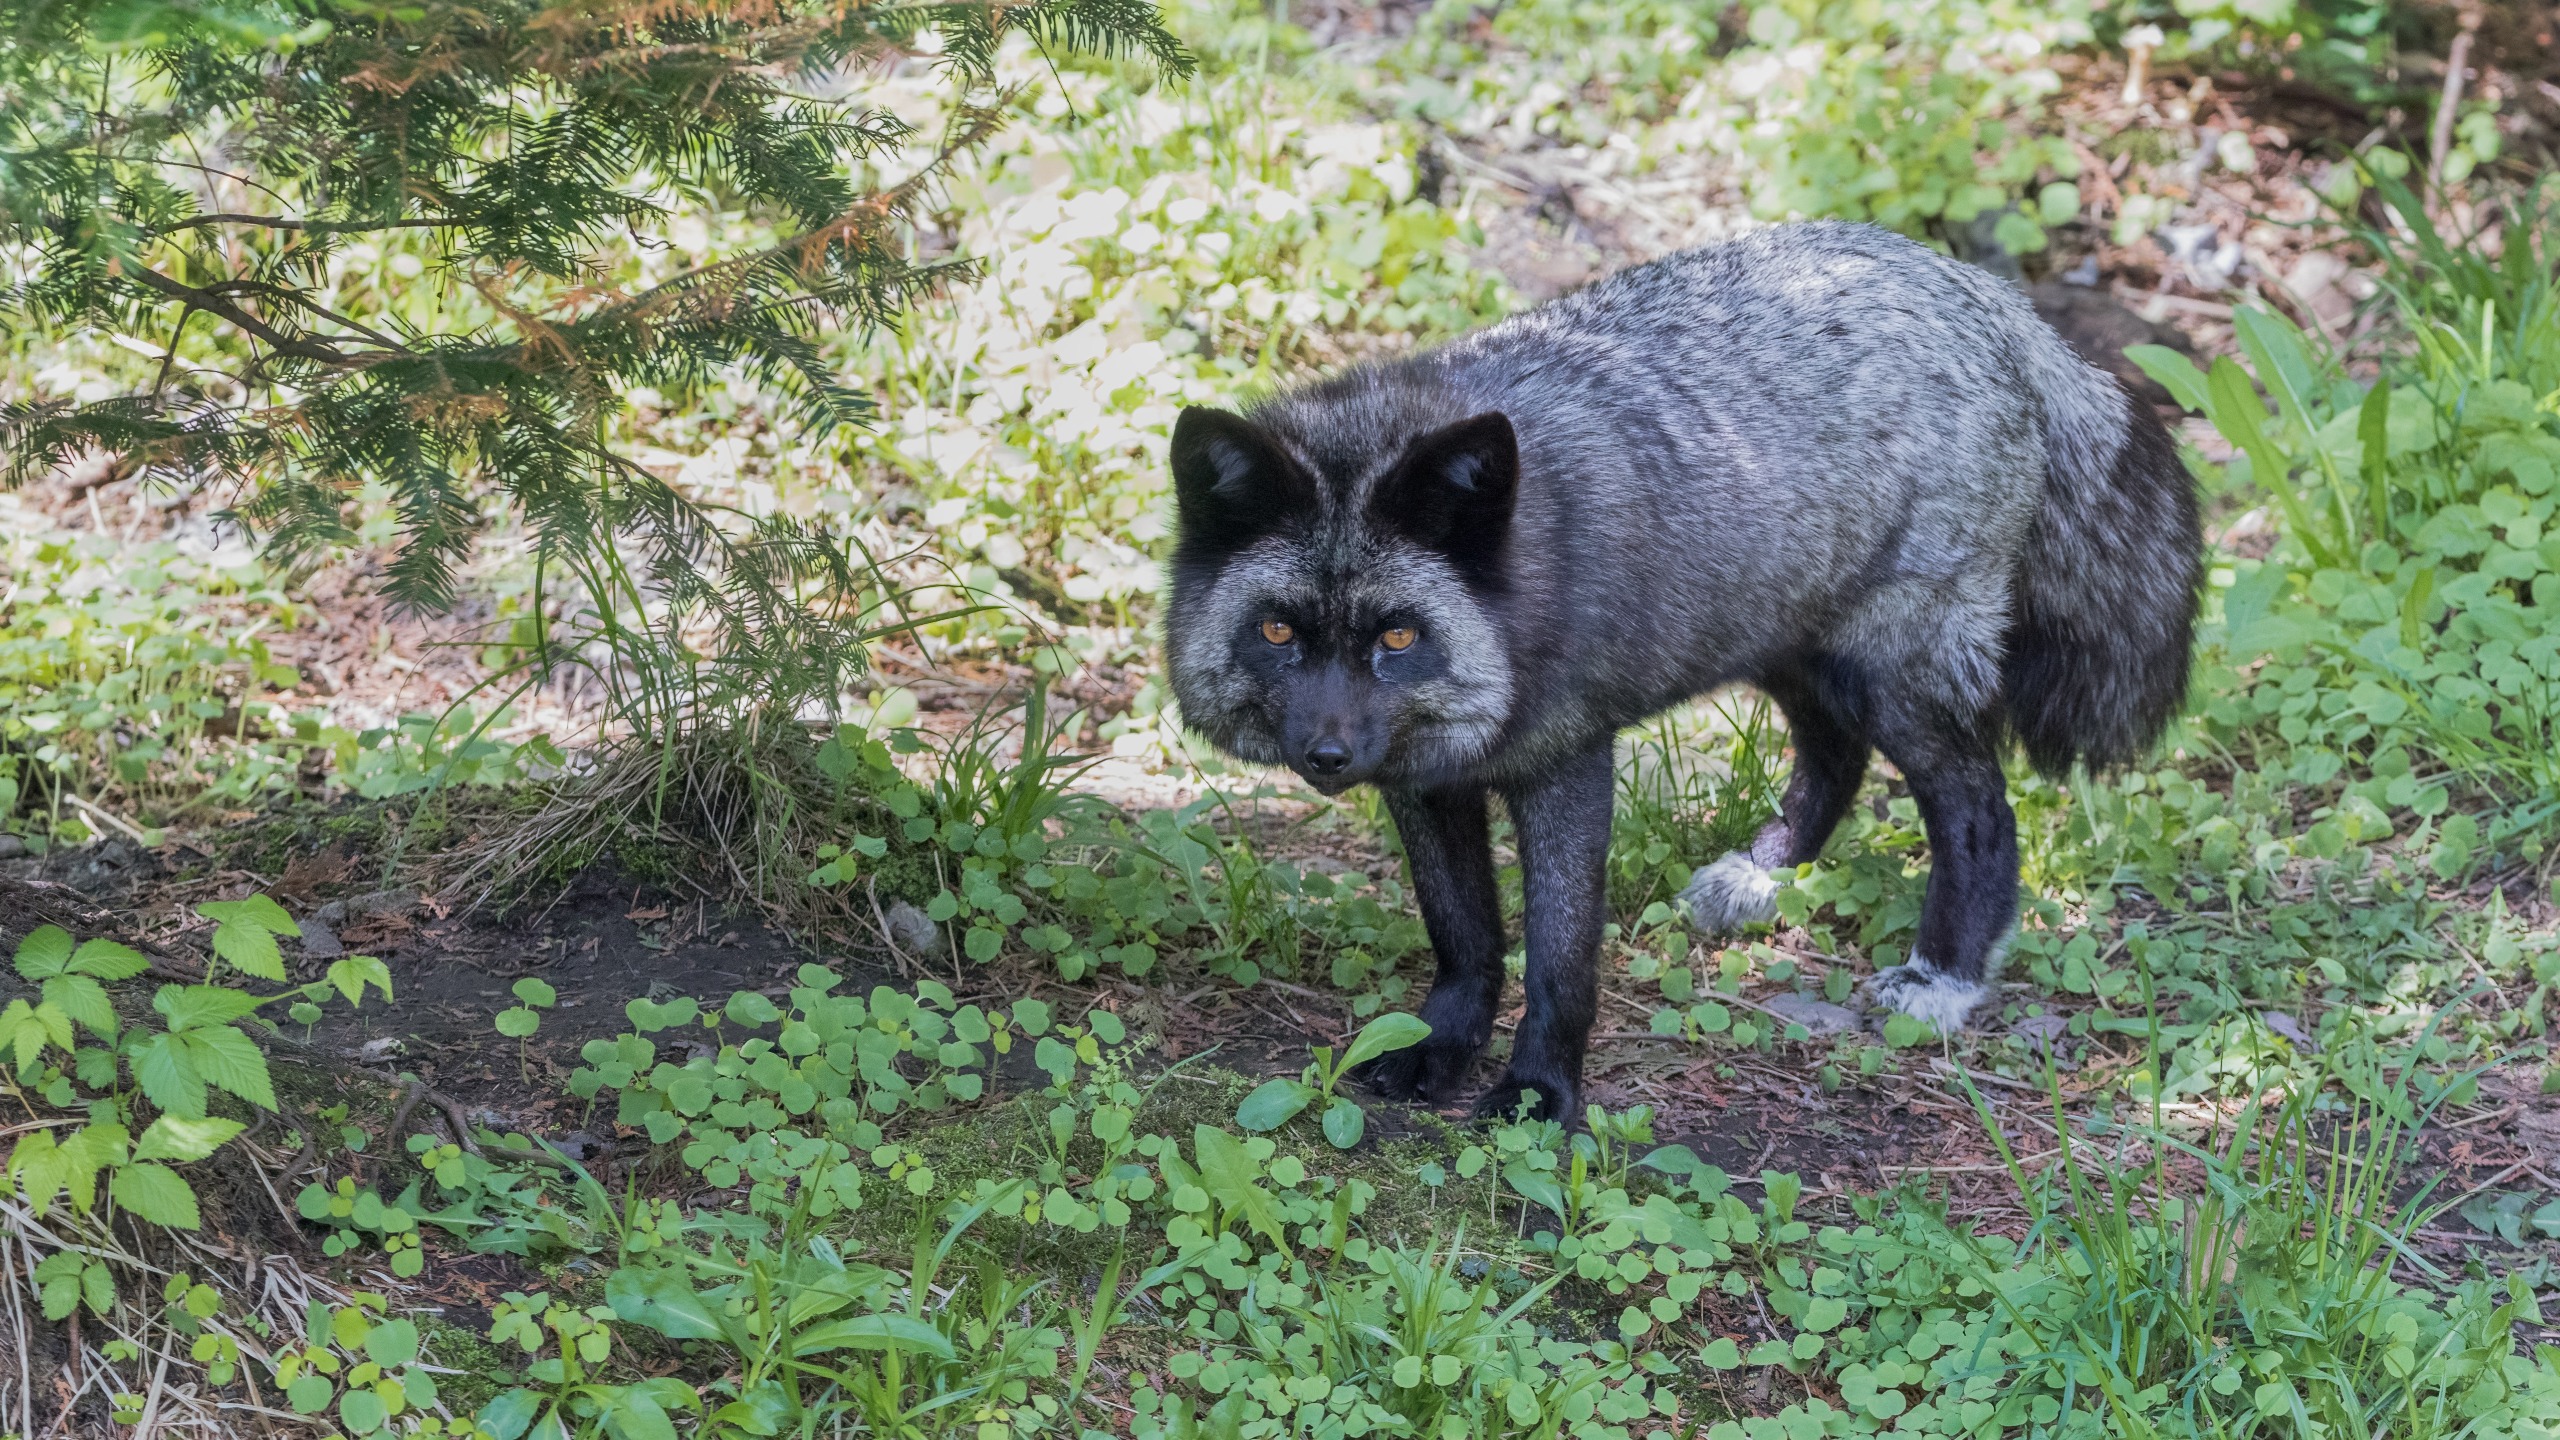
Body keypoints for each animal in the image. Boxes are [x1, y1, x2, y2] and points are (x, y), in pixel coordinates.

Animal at [1160, 221, 2201, 1123]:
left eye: (1399, 638)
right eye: (1280, 630)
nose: (1327, 755)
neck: (1519, 587)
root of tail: (1990, 299)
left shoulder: (1568, 762)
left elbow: (1560, 957)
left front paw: (1541, 1089)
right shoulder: (1423, 780)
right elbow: (1463, 934)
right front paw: (1441, 1047)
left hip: (1892, 670)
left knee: (1979, 810)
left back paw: (1943, 974)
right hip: (1786, 642)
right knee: (1836, 757)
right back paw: (1763, 875)